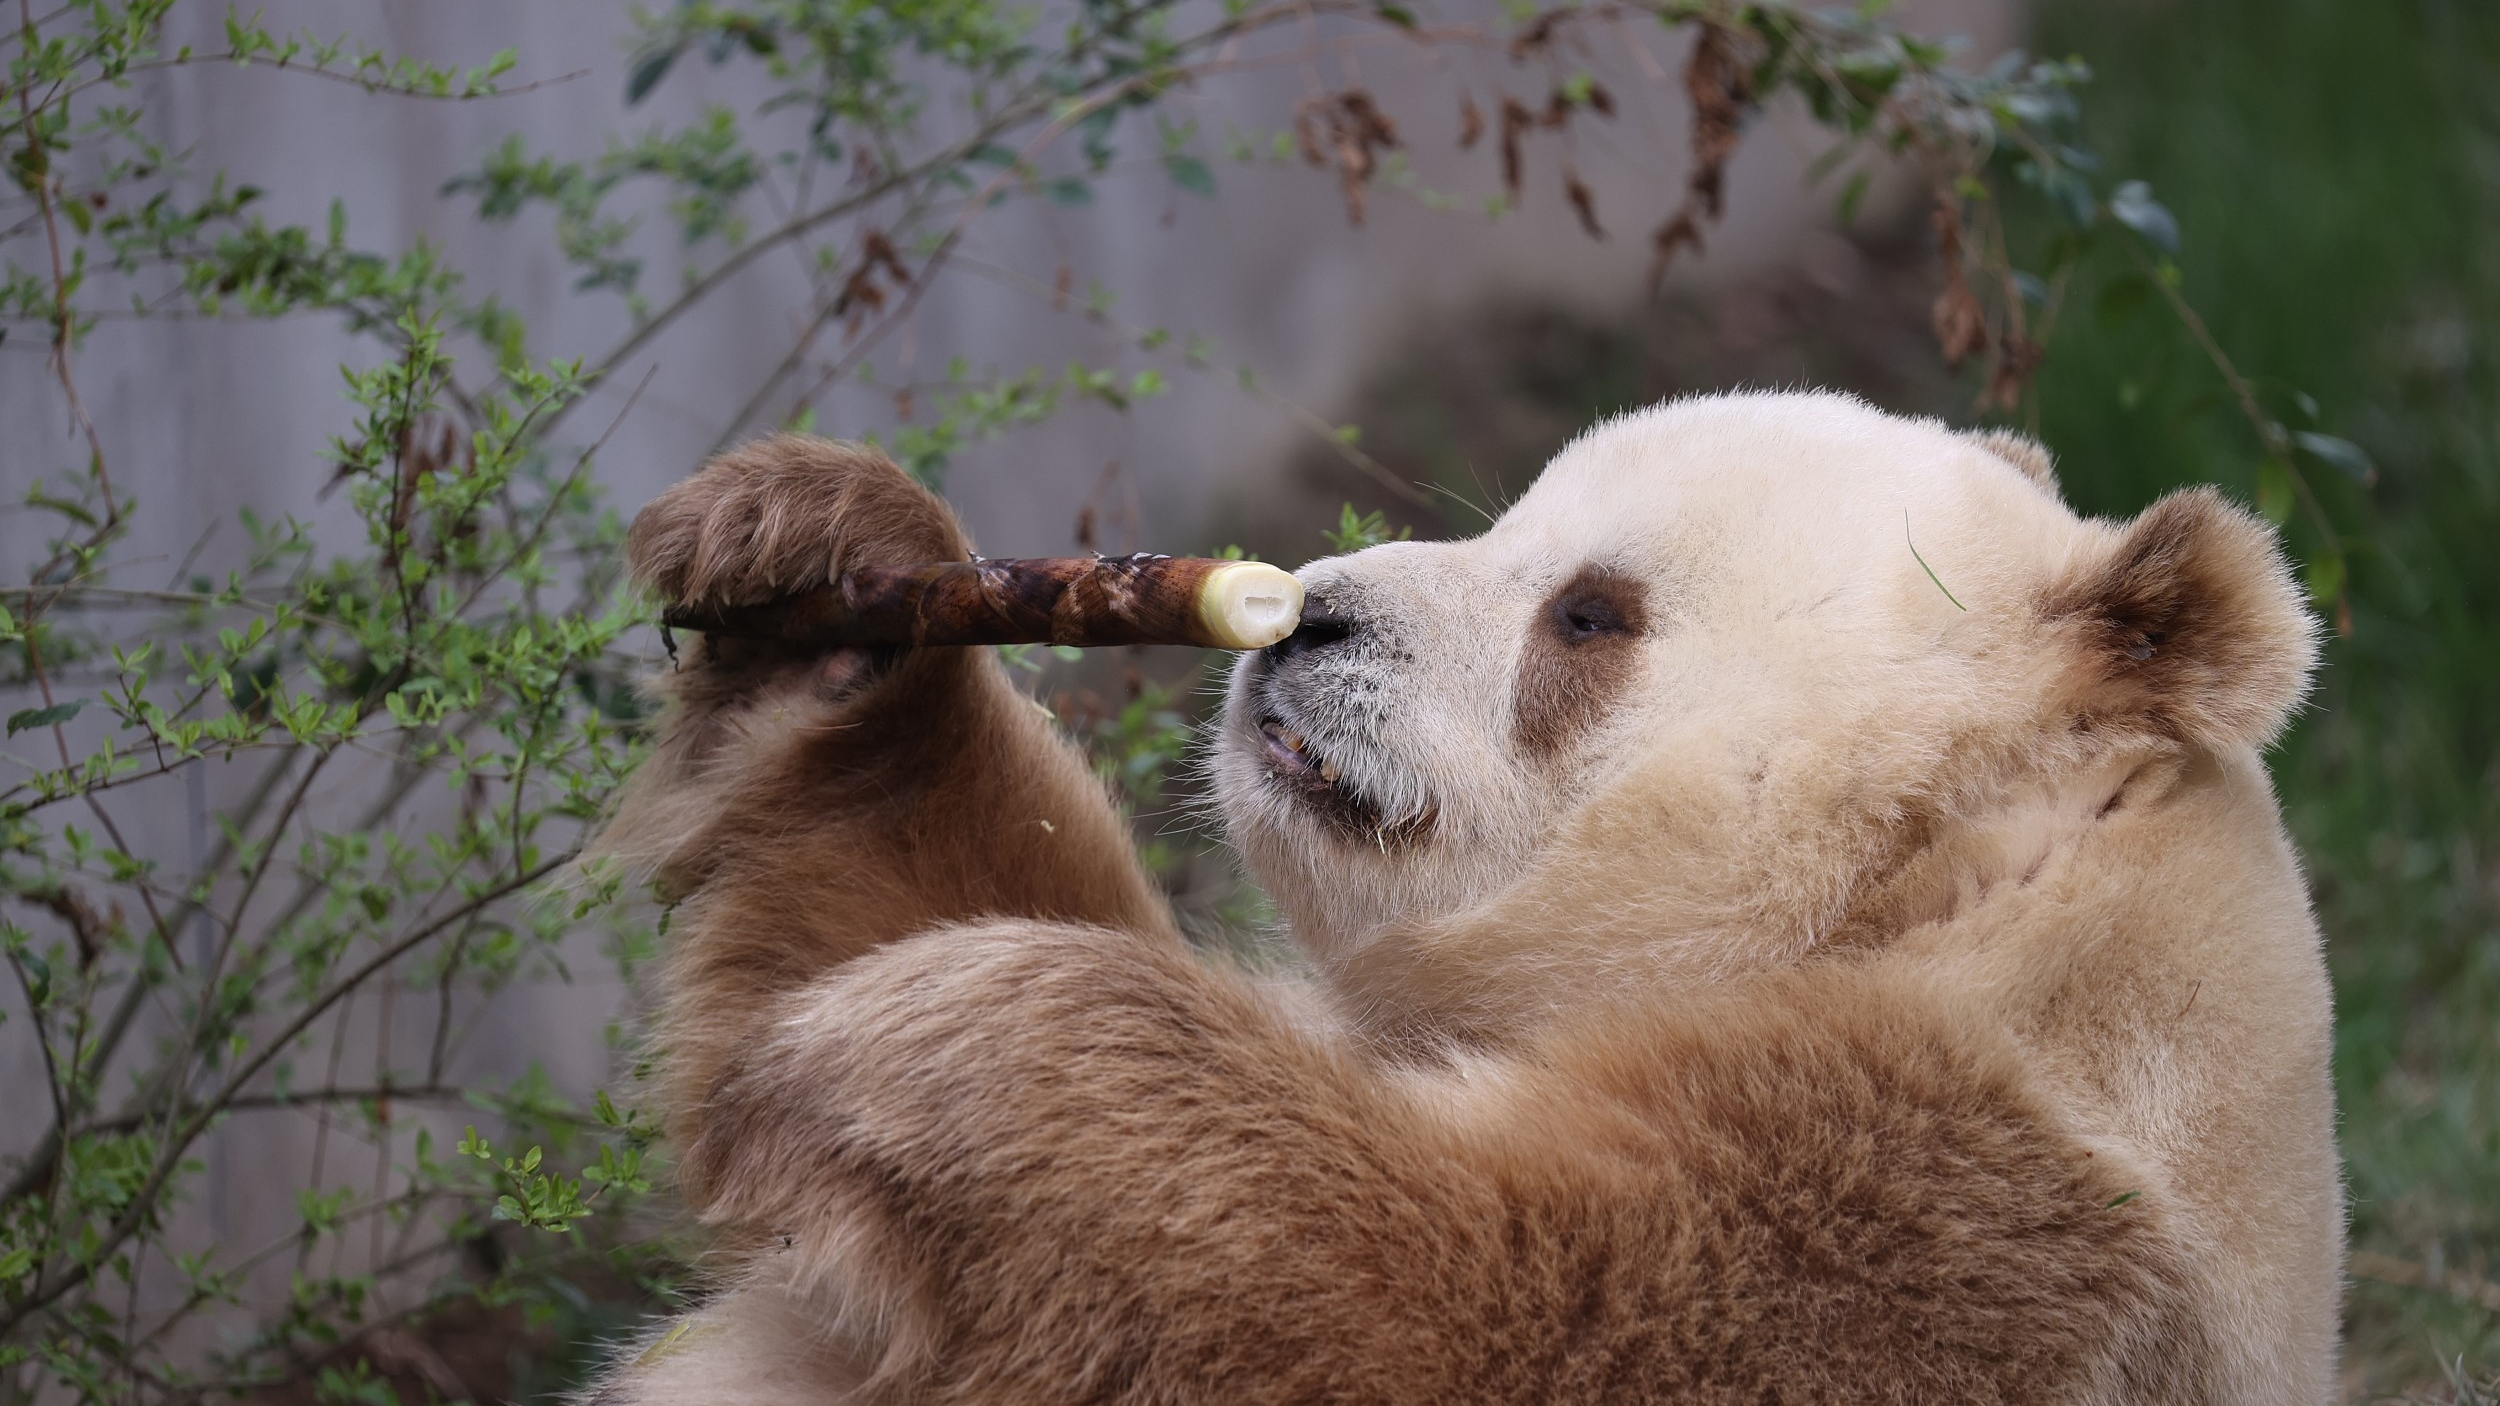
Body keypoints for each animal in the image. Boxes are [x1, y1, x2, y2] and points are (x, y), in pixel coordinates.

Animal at [586, 391, 2341, 1404]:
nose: (1305, 617)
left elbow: (1446, 1310)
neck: (1933, 876)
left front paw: (953, 1052)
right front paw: (818, 556)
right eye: (1514, 513)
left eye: (1589, 614)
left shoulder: (1965, 1202)